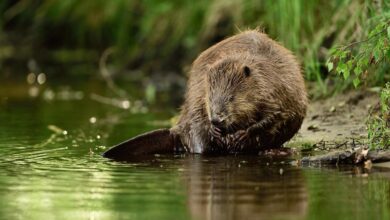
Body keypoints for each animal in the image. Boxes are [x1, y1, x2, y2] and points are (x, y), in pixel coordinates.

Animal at [103, 29, 308, 160]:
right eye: (210, 98)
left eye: (232, 98)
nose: (217, 120)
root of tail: (175, 130)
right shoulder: (201, 91)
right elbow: (201, 112)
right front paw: (217, 132)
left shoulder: (276, 87)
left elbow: (275, 116)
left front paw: (241, 135)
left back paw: (280, 151)